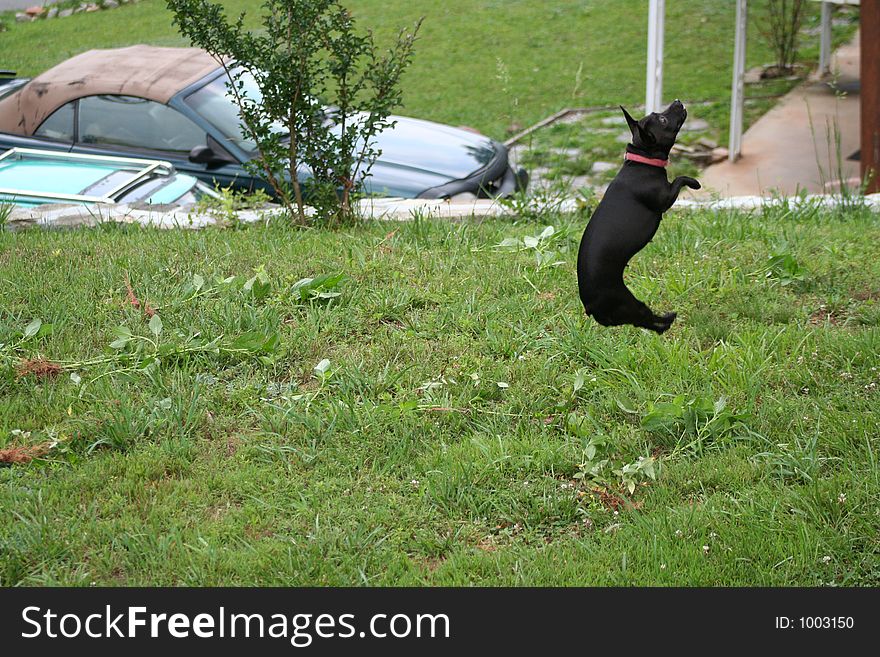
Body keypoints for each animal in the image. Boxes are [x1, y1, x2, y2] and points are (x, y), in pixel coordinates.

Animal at [576, 100, 700, 336]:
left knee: (642, 322)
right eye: (662, 119)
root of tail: (590, 307)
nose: (678, 102)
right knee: (648, 319)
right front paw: (694, 182)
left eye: (657, 113)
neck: (643, 161)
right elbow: (679, 179)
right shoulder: (665, 198)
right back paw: (667, 320)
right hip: (629, 303)